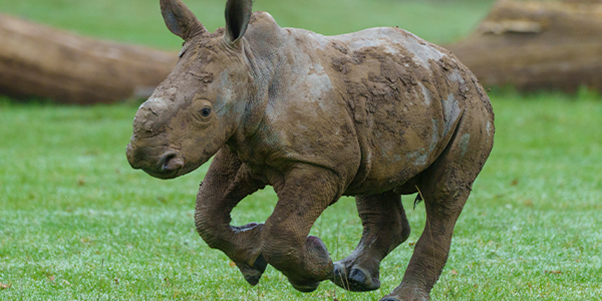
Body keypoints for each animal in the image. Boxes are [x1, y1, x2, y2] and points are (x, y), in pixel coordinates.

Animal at [125, 0, 492, 298]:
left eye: (204, 112)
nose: (143, 155)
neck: (253, 67)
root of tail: (461, 67)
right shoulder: (241, 145)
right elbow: (207, 214)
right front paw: (255, 261)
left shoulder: (320, 165)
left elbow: (282, 232)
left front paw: (312, 268)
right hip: (399, 105)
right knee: (376, 178)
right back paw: (353, 278)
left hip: (469, 109)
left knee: (445, 195)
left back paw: (395, 295)